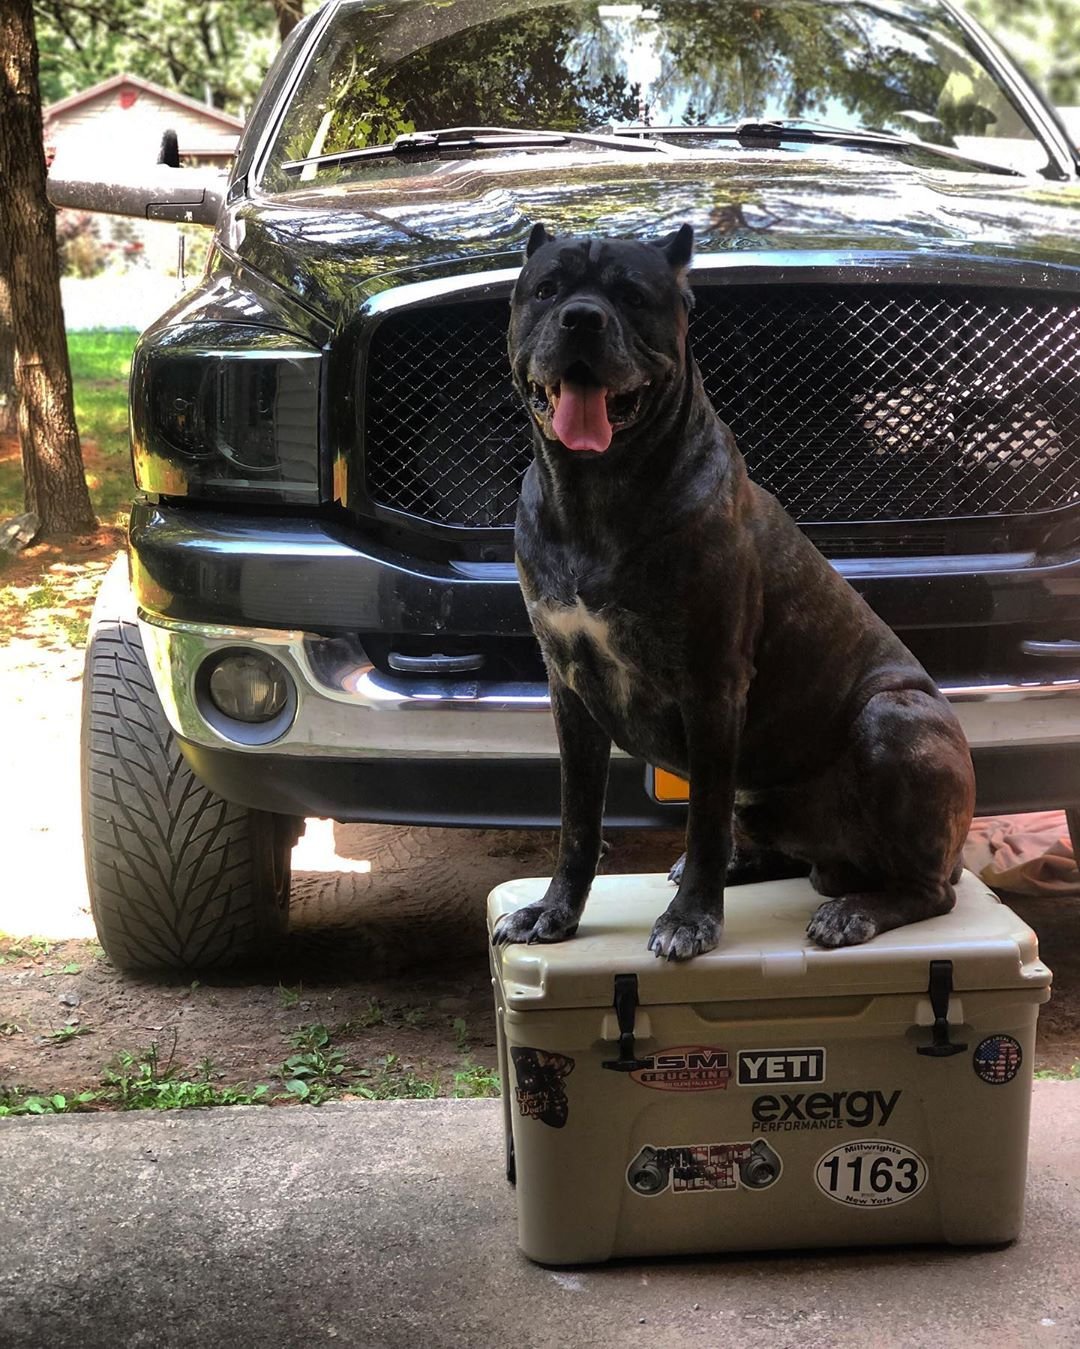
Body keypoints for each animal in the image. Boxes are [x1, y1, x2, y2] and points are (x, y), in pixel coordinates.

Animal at [493, 223, 970, 960]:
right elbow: (578, 820)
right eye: (547, 288)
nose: (582, 318)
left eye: (632, 296)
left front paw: (692, 919)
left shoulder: (711, 685)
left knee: (928, 888)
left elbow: (704, 818)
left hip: (893, 719)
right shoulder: (570, 689)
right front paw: (555, 908)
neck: (594, 491)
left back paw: (854, 910)